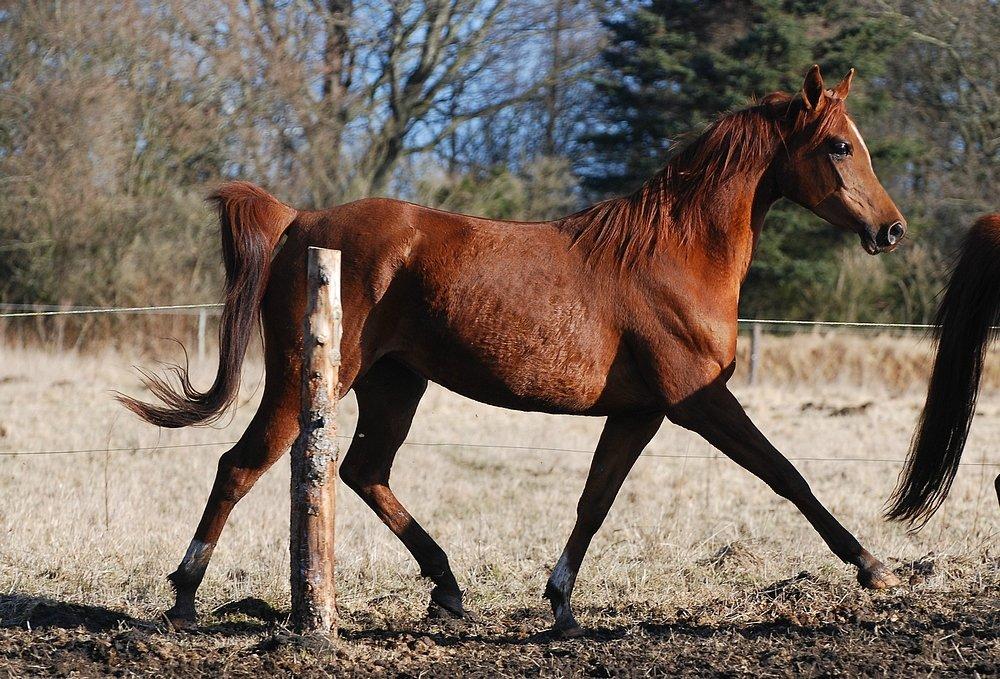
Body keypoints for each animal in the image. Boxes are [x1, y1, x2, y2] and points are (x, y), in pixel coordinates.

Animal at [123, 65, 908, 636]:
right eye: (839, 146)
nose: (892, 230)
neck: (674, 254)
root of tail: (298, 221)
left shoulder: (639, 413)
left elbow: (594, 501)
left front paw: (560, 603)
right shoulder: (700, 401)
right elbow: (788, 476)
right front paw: (874, 567)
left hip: (394, 383)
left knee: (364, 471)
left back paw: (447, 586)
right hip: (308, 378)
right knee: (242, 464)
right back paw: (185, 594)